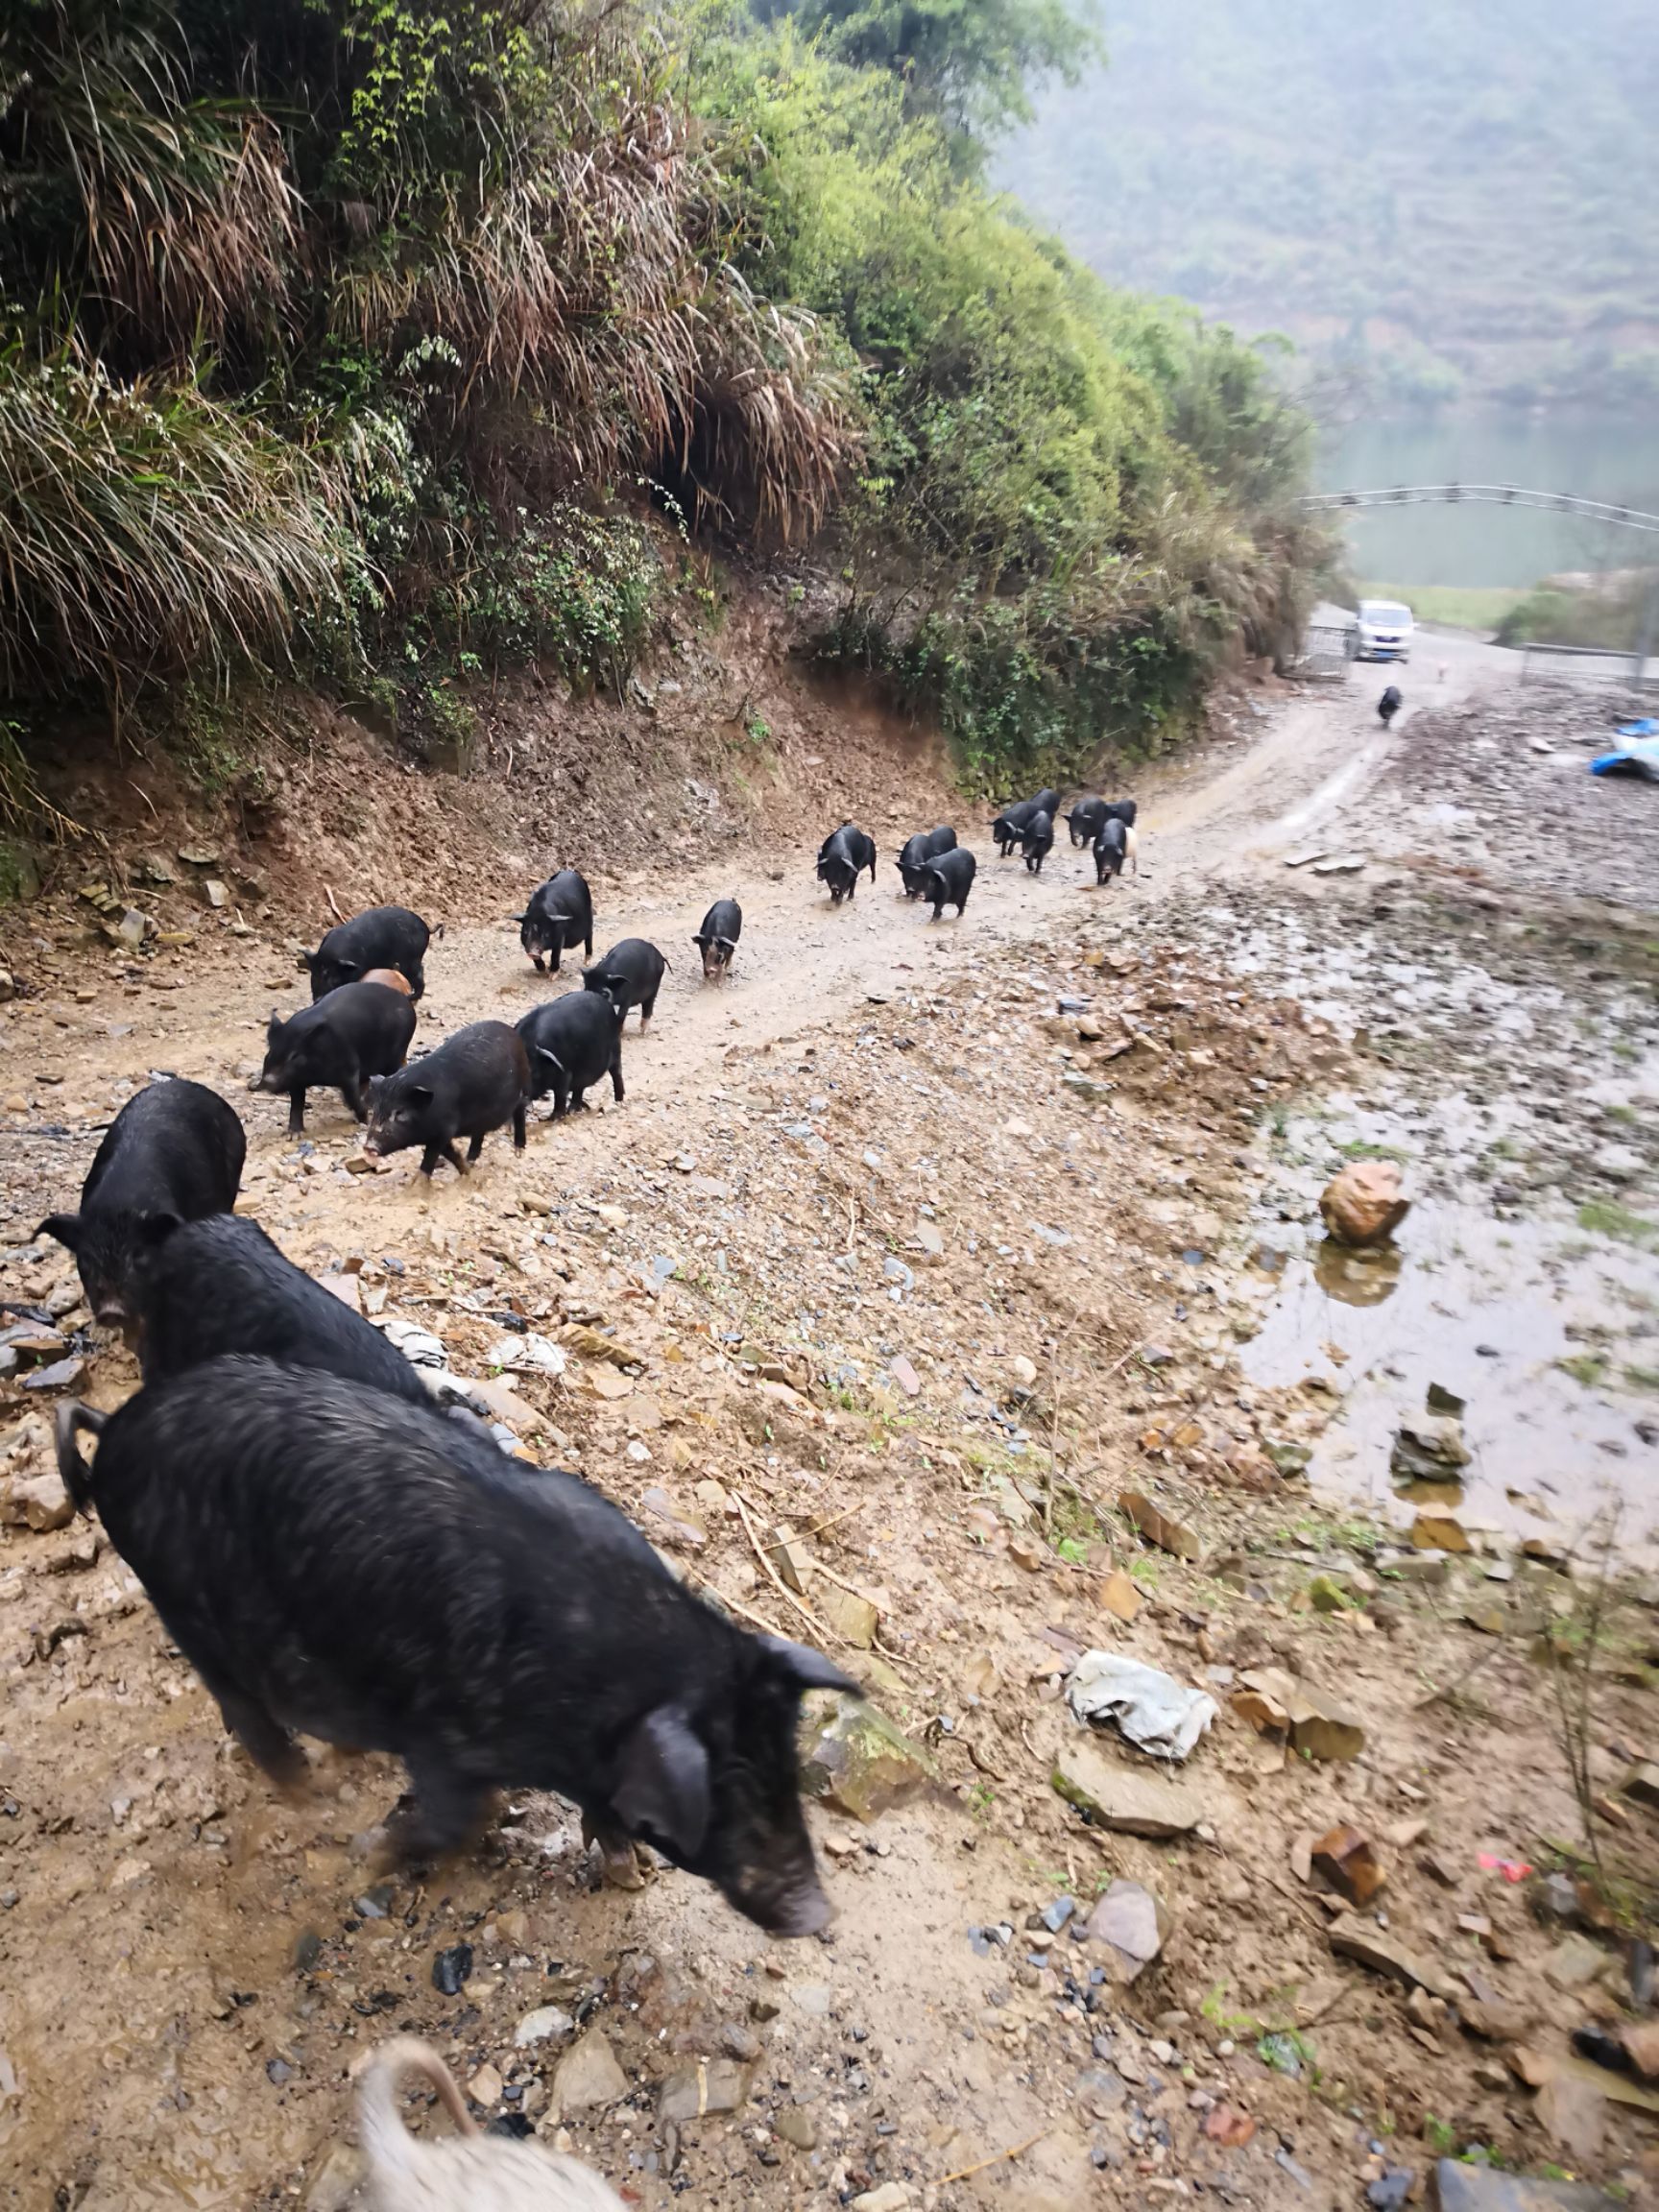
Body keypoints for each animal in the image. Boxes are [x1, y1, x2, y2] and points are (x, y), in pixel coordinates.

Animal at [55, 1354, 857, 1946]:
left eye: (785, 1773)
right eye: (730, 1794)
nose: (820, 1914)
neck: (609, 1679)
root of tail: (118, 1429)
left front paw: (627, 1871)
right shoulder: (445, 1735)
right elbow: (449, 1821)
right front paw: (365, 1859)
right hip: (180, 1600)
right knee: (243, 1709)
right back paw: (311, 1791)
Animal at [250, 981, 416, 1132]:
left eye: (295, 1056)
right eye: (270, 1051)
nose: (268, 1080)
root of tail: (405, 999)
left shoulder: (350, 1069)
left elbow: (352, 1097)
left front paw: (364, 1121)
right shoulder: (296, 1081)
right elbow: (296, 1104)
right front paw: (293, 1134)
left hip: (398, 1051)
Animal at [302, 902, 435, 999]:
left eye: (331, 977)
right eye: (314, 975)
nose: (318, 999)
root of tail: (427, 928)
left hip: (412, 959)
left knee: (419, 974)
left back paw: (412, 996)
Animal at [367, 1022, 528, 1185]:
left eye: (400, 1112)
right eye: (376, 1109)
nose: (368, 1147)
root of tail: (515, 1035)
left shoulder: (445, 1129)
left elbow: (432, 1156)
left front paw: (417, 1185)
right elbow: (449, 1152)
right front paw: (467, 1172)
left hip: (515, 1095)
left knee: (521, 1106)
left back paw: (519, 1151)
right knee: (479, 1131)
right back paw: (471, 1160)